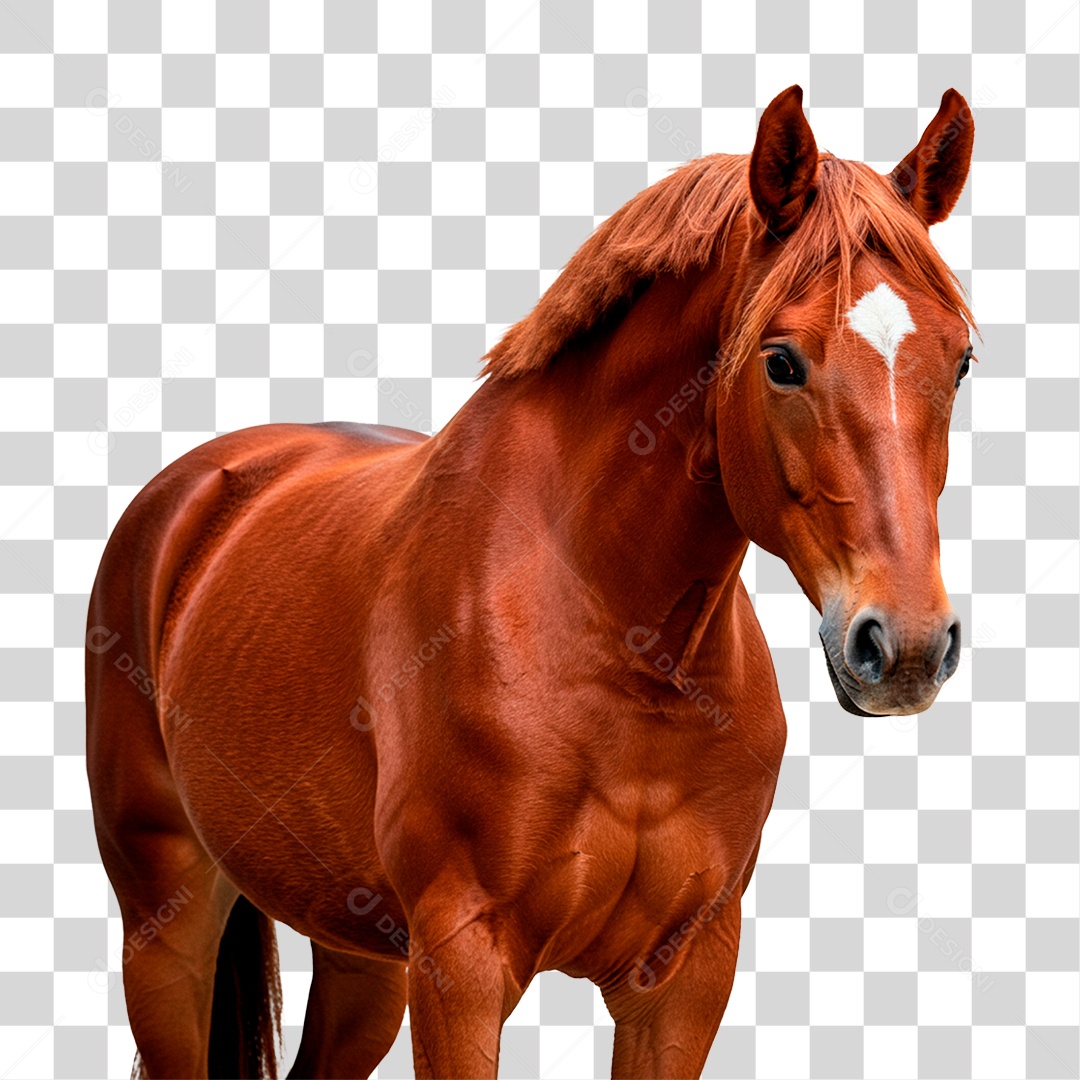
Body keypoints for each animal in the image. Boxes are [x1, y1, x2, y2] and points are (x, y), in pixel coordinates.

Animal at [86, 84, 975, 1079]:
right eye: (781, 359)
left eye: (960, 360)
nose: (904, 645)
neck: (621, 644)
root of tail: (196, 491)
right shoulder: (461, 968)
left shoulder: (684, 977)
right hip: (165, 920)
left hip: (359, 952)